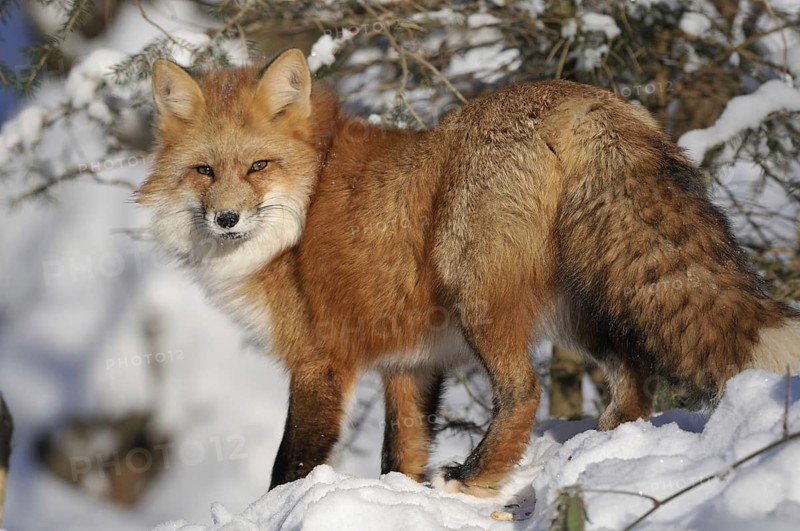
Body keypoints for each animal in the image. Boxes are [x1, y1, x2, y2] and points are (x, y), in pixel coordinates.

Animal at [137, 48, 800, 497]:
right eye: (203, 171)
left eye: (258, 166)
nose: (225, 218)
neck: (309, 199)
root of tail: (578, 98)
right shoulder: (409, 363)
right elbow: (400, 456)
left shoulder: (319, 363)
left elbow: (289, 468)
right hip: (579, 306)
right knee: (636, 375)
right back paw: (601, 446)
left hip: (477, 294)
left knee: (525, 391)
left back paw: (477, 475)